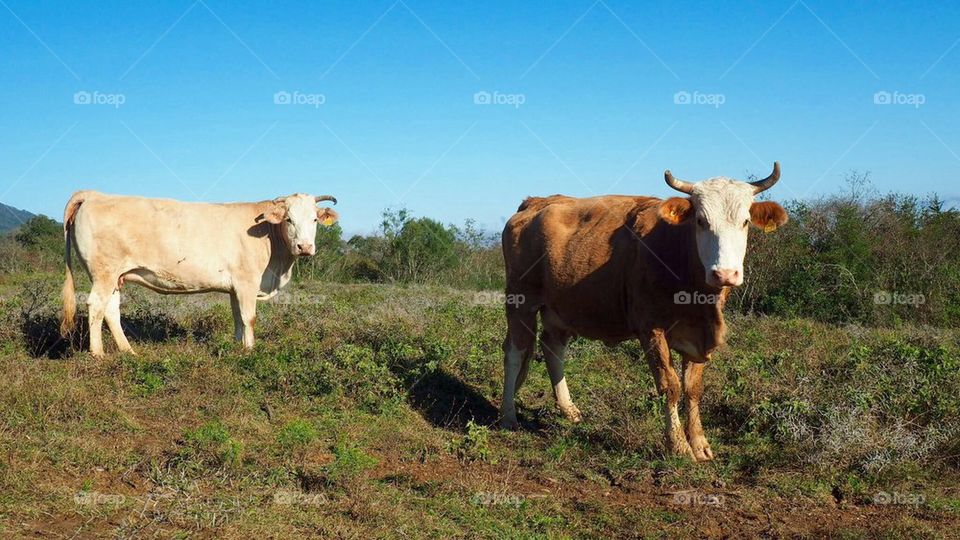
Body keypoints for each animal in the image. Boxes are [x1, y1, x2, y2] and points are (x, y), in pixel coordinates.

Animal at [59, 191, 339, 358]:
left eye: (314, 220)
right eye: (289, 219)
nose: (305, 247)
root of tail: (94, 194)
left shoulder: (235, 287)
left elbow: (237, 318)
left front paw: (237, 347)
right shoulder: (247, 281)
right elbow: (249, 318)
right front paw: (250, 351)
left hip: (116, 276)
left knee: (111, 310)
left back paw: (129, 352)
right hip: (104, 273)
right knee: (96, 306)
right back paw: (98, 355)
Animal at [499, 163, 788, 461]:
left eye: (745, 222)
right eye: (700, 221)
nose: (725, 274)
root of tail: (536, 202)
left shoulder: (699, 334)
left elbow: (693, 389)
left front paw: (699, 443)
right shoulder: (651, 328)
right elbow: (670, 386)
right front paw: (679, 445)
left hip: (561, 308)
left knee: (552, 348)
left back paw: (569, 410)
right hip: (520, 301)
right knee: (514, 353)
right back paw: (508, 416)